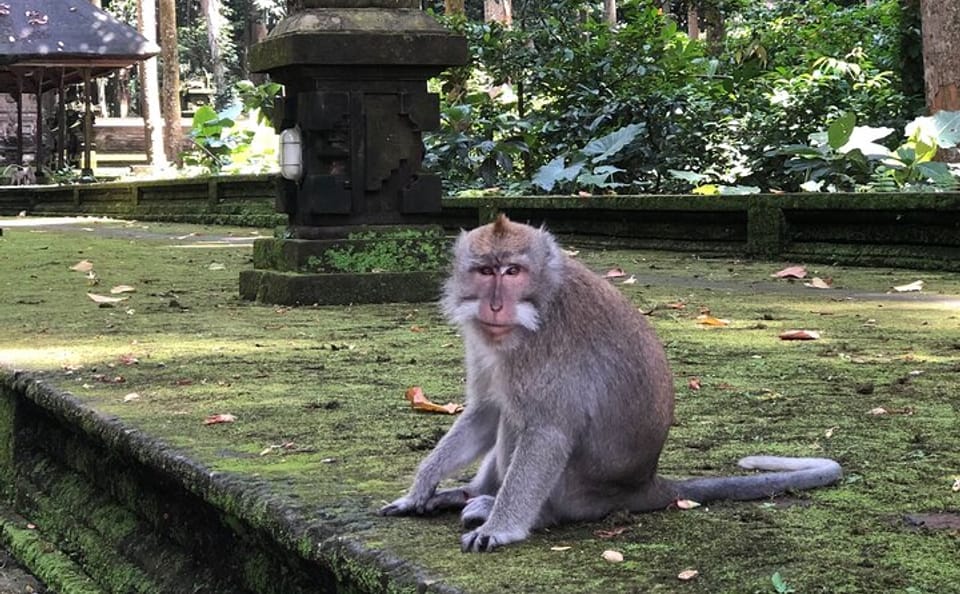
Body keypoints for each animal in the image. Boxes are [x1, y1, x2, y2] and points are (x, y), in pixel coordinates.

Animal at [380, 215, 842, 553]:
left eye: (512, 271)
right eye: (485, 271)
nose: (494, 306)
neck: (539, 303)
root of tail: (643, 484)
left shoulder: (548, 348)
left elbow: (546, 432)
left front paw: (502, 528)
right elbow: (485, 410)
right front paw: (420, 487)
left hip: (576, 492)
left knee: (525, 423)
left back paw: (516, 511)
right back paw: (467, 493)